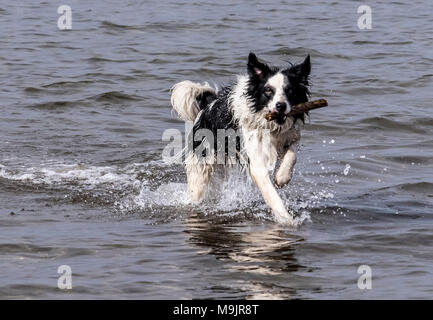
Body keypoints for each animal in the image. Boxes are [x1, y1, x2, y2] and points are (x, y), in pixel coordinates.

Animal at [170, 53, 308, 222]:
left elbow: (292, 155)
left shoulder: (288, 137)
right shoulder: (256, 161)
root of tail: (207, 106)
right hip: (201, 169)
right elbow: (271, 193)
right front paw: (286, 218)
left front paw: (282, 177)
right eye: (268, 91)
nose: (281, 106)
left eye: (290, 90)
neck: (268, 124)